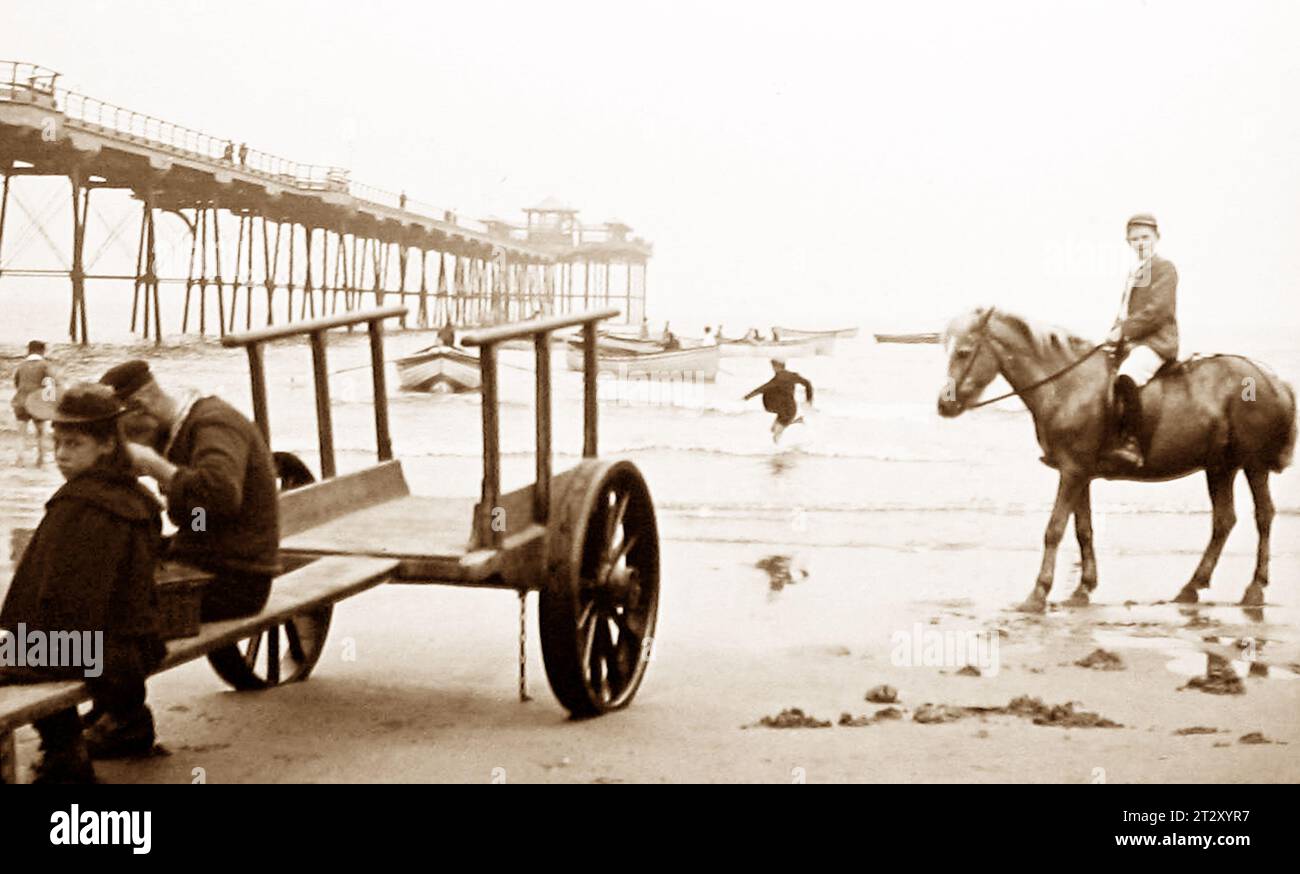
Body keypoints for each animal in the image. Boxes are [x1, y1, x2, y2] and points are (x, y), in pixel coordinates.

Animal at [941, 306, 1294, 613]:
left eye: (964, 352)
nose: (944, 405)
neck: (1067, 386)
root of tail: (1272, 378)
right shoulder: (1079, 473)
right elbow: (1083, 530)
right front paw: (1082, 588)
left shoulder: (1072, 472)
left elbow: (1054, 529)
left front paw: (1038, 594)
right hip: (1220, 466)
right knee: (1224, 521)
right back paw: (1191, 587)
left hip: (1254, 465)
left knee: (1264, 516)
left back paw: (1254, 588)